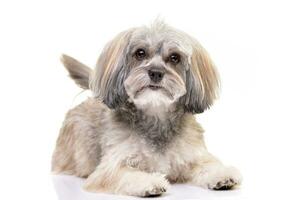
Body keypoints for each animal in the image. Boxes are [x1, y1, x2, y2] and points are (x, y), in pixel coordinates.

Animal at [52, 20, 243, 197]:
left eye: (174, 57)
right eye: (140, 53)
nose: (156, 72)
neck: (156, 119)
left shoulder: (193, 156)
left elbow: (207, 165)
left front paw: (221, 174)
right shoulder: (109, 169)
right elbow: (128, 174)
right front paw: (149, 182)